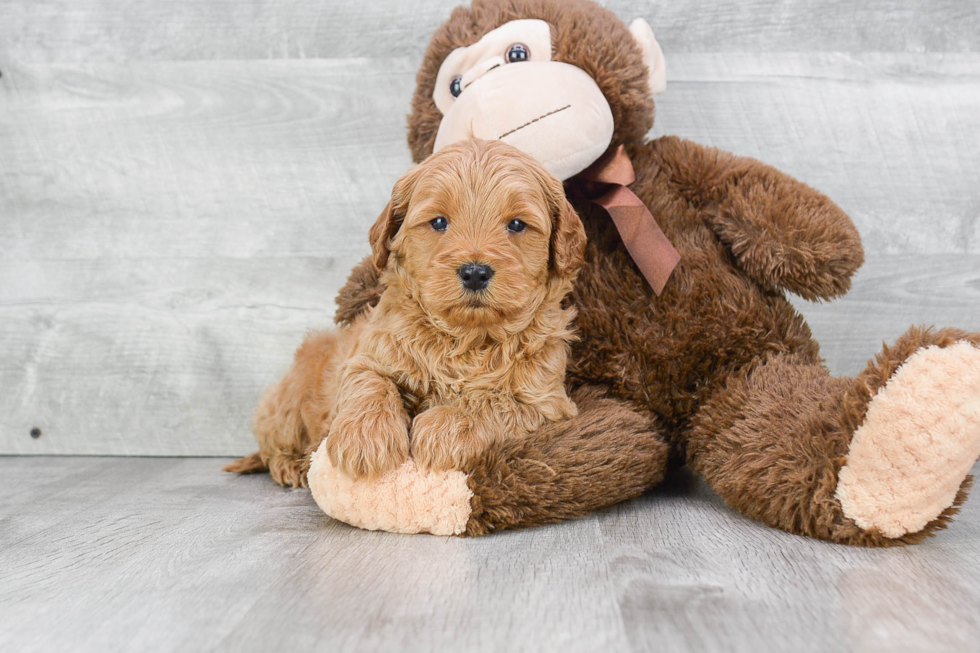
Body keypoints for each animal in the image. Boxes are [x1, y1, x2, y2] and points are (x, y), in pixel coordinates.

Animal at [226, 139, 584, 484]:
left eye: (517, 224)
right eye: (438, 222)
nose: (474, 272)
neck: (466, 338)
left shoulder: (545, 402)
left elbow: (493, 401)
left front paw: (445, 427)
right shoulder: (366, 356)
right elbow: (370, 382)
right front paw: (364, 438)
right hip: (287, 401)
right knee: (271, 443)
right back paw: (289, 465)